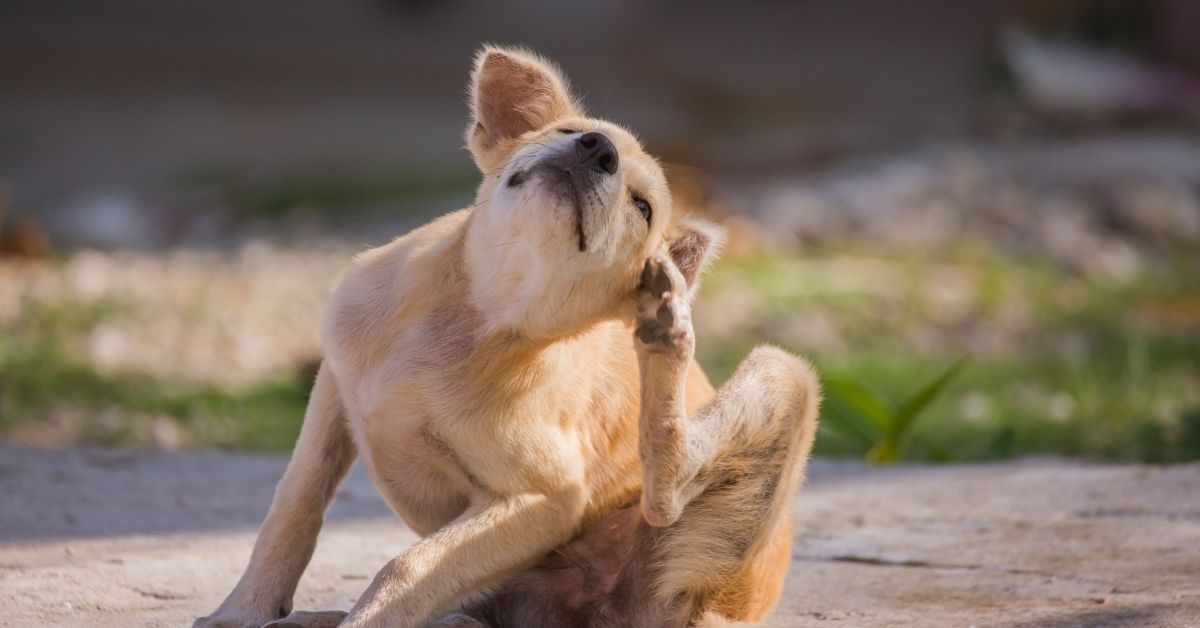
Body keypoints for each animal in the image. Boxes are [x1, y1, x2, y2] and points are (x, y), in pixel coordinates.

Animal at [194, 45, 816, 628]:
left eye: (642, 207)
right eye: (568, 133)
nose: (597, 149)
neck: (476, 314)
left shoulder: (545, 499)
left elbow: (409, 565)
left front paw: (360, 620)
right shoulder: (333, 387)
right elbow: (293, 505)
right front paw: (242, 610)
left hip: (783, 378)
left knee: (666, 491)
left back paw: (667, 330)